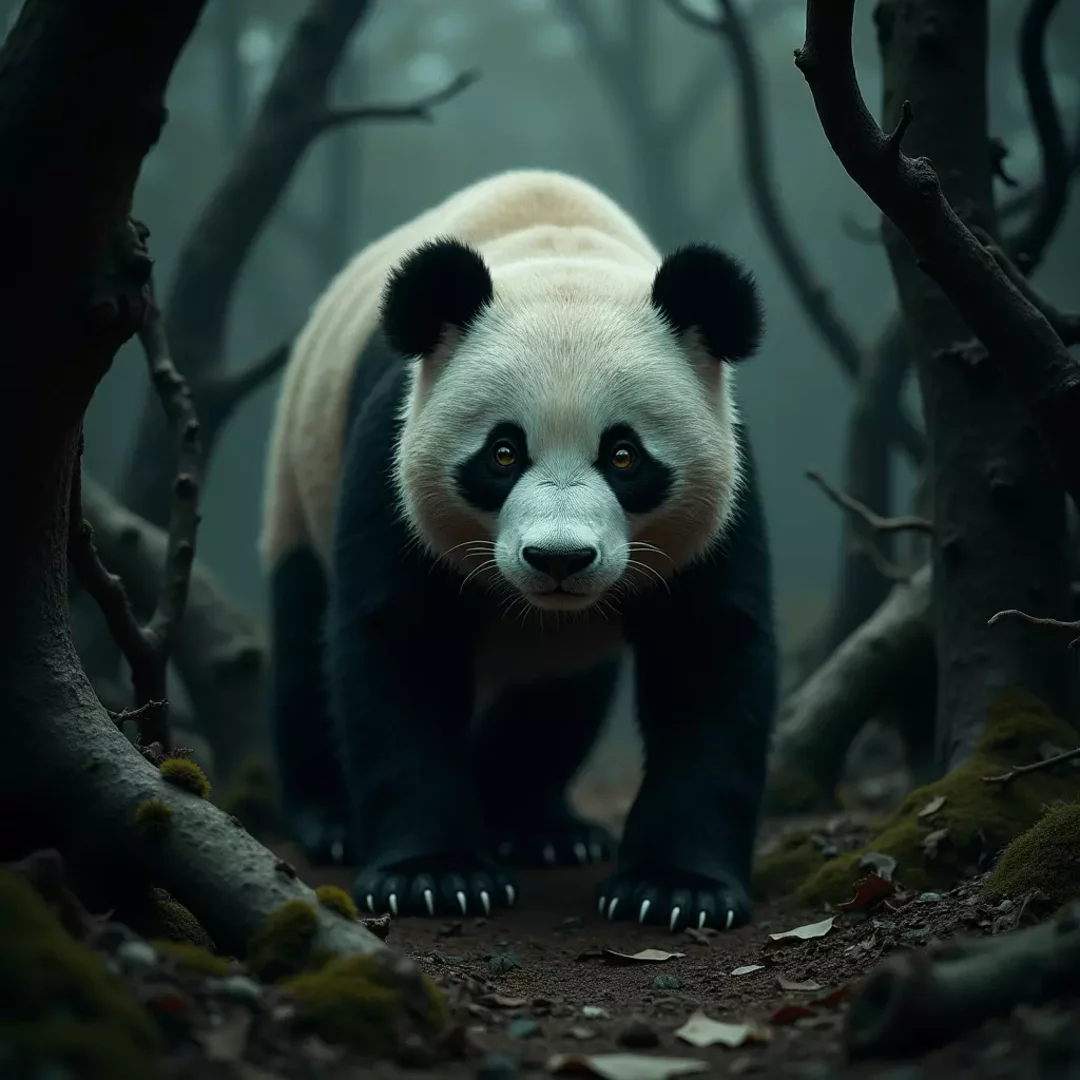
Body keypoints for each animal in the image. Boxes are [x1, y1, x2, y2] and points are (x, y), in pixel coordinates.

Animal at [260, 169, 777, 932]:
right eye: (503, 453)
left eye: (624, 456)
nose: (559, 559)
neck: (562, 256)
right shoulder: (389, 453)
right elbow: (400, 643)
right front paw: (435, 876)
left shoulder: (725, 485)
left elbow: (707, 652)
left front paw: (675, 891)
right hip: (299, 485)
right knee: (303, 642)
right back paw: (333, 821)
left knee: (555, 702)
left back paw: (541, 828)